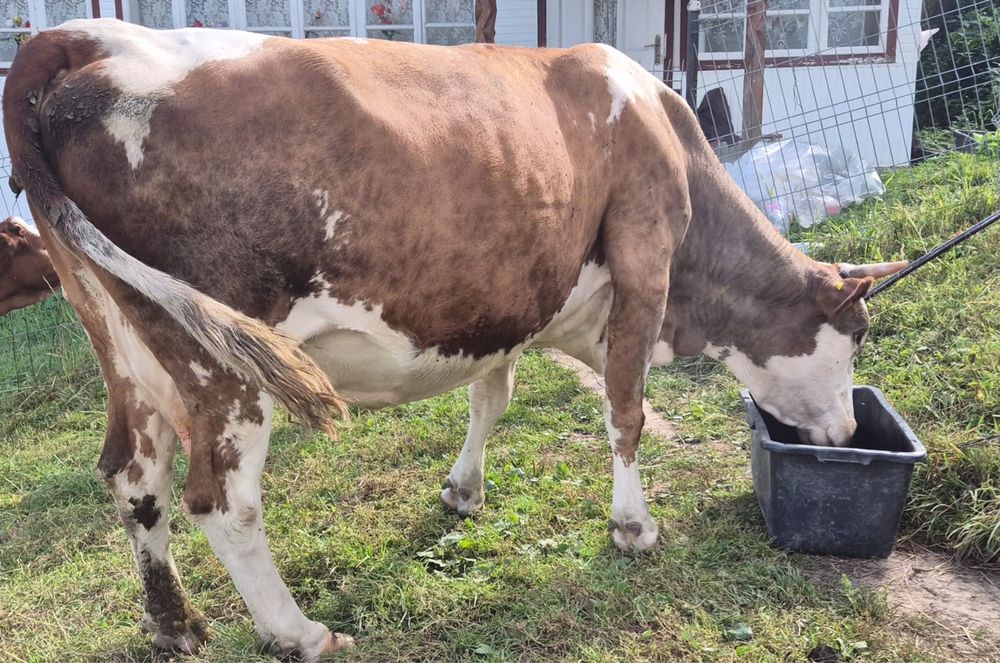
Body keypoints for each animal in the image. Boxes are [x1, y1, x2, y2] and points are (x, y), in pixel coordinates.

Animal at [3, 19, 907, 660]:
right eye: (859, 331)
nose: (848, 430)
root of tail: (89, 36)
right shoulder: (644, 264)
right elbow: (625, 410)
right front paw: (634, 527)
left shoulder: (500, 308)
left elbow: (490, 396)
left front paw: (463, 490)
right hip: (223, 363)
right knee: (222, 501)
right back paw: (299, 631)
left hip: (129, 351)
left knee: (133, 478)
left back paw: (176, 624)